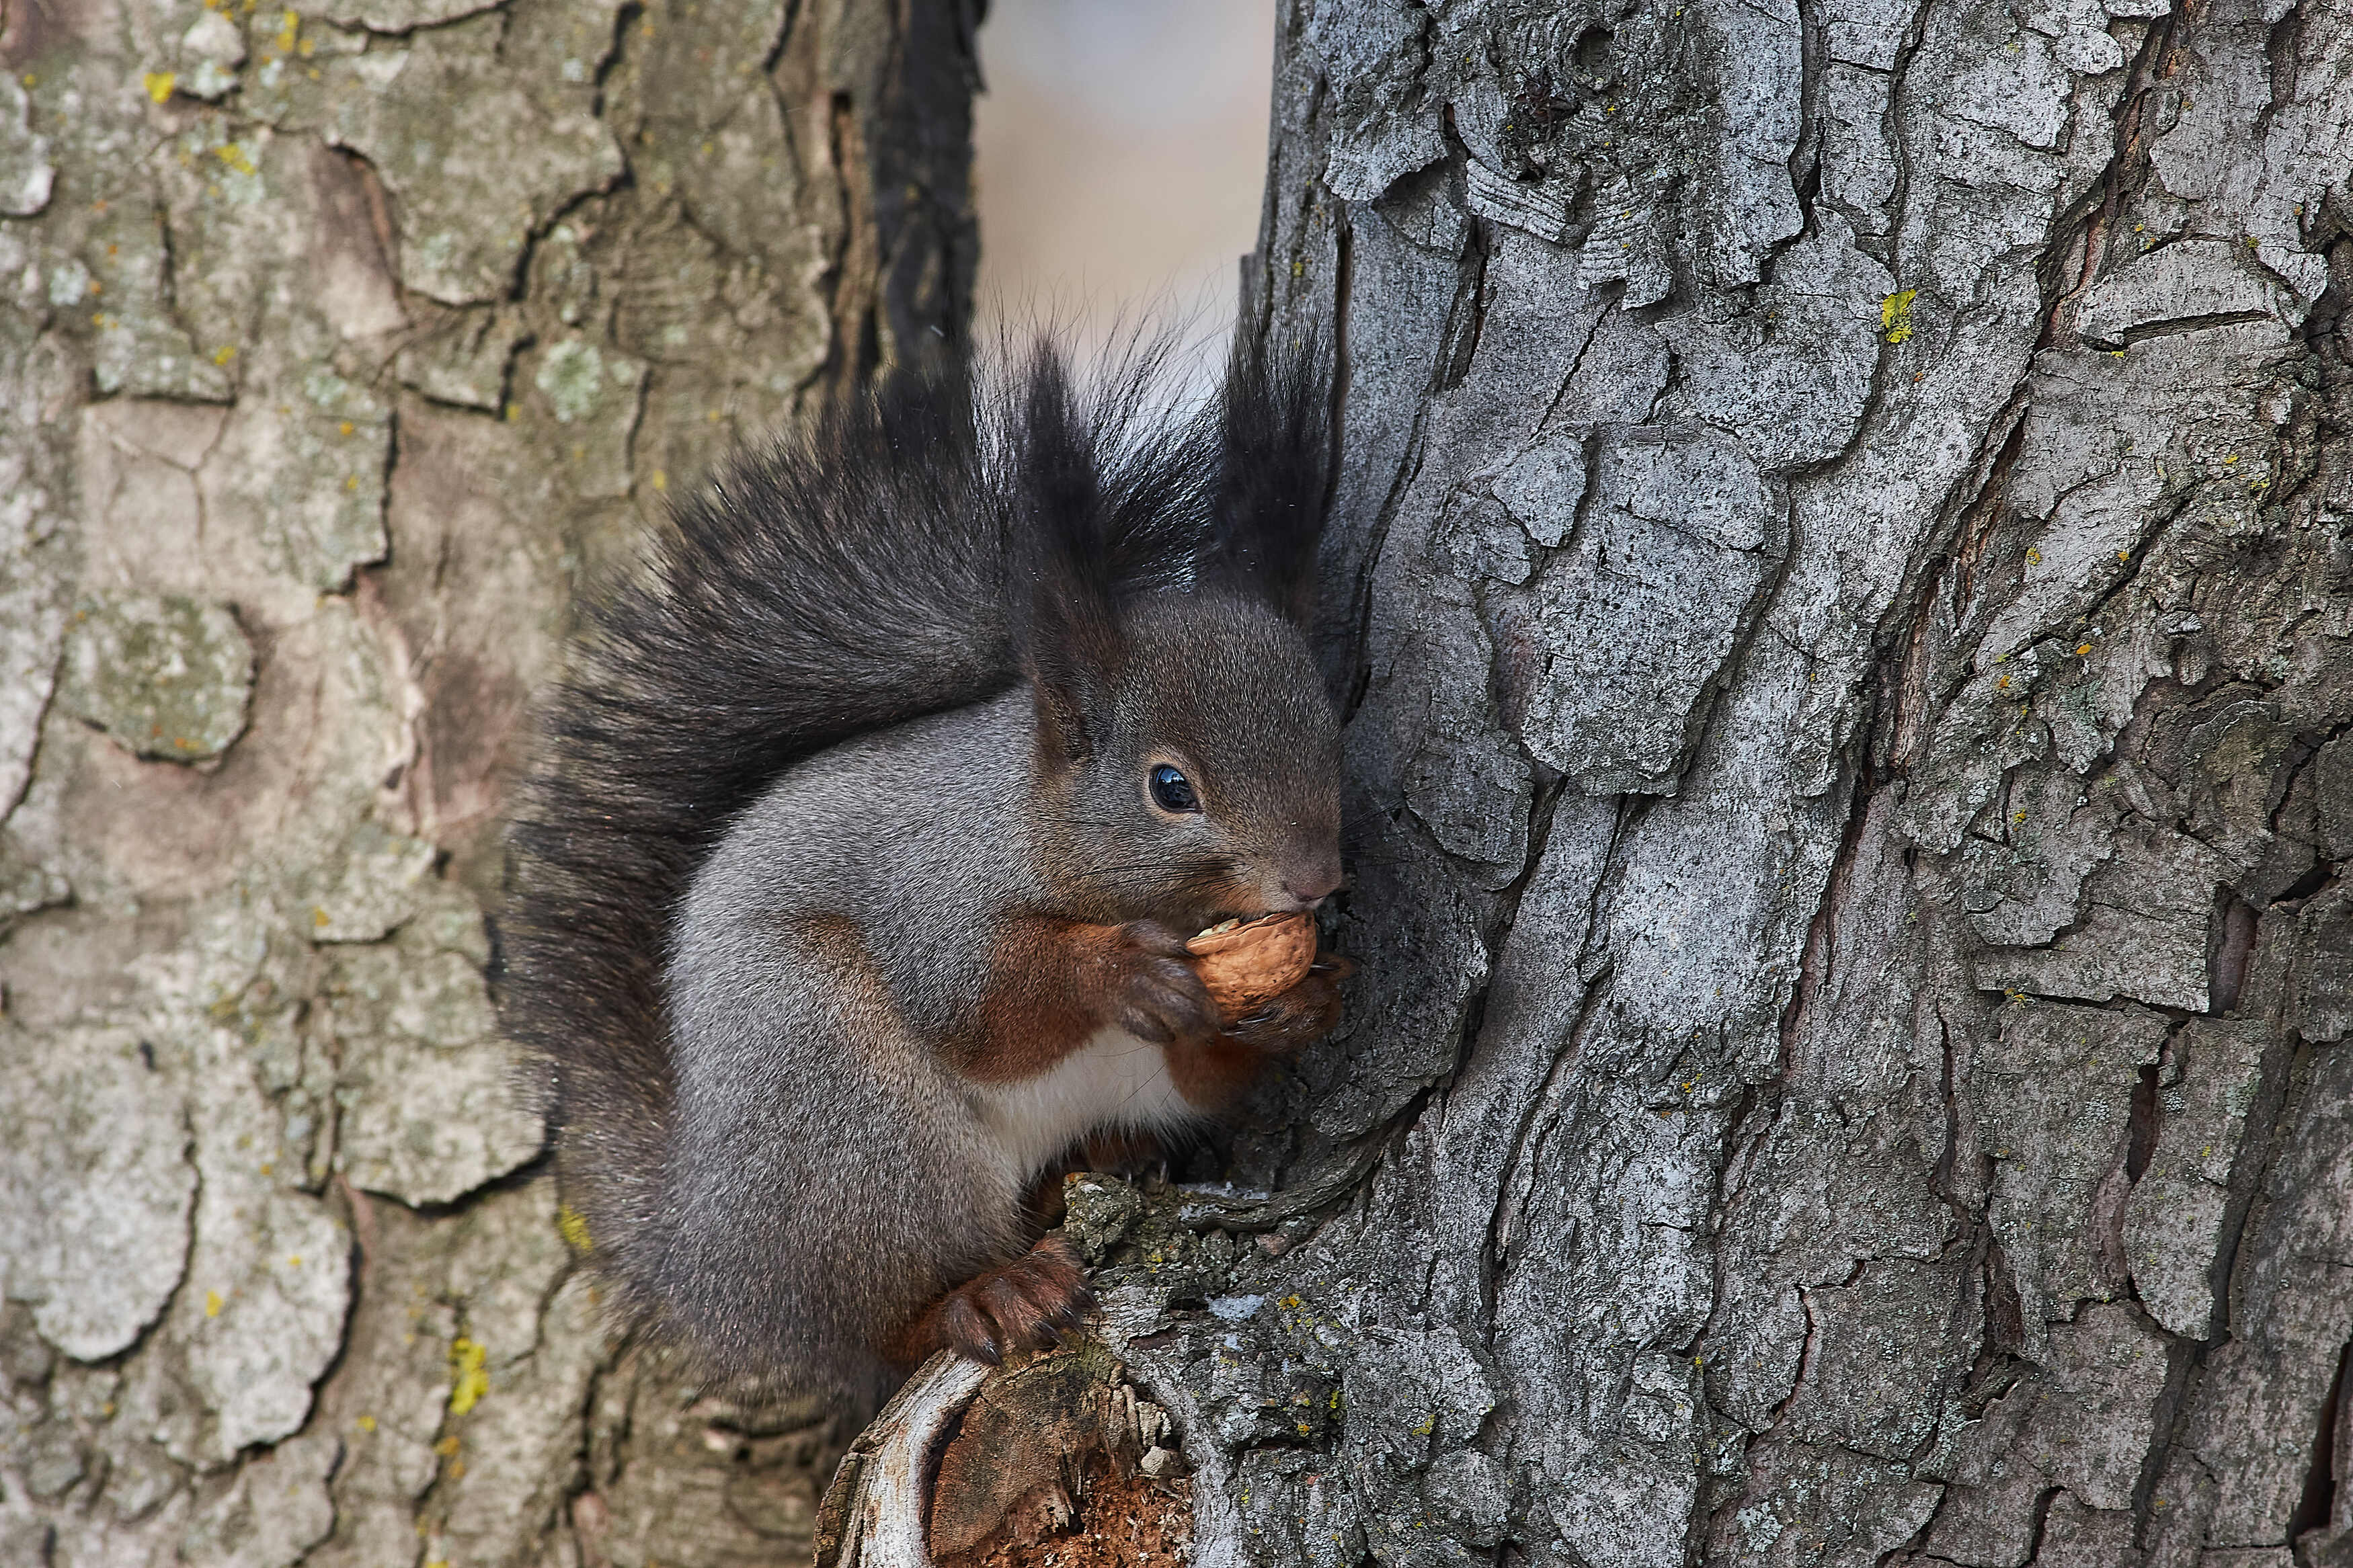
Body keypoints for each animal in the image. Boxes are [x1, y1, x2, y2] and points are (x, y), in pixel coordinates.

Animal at [506, 338, 1355, 1419]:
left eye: (1329, 727)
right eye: (1171, 787)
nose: (1315, 880)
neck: (1031, 827)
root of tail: (706, 1254)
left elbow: (1205, 1073)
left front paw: (1304, 1000)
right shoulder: (930, 892)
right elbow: (981, 1014)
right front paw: (1119, 969)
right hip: (838, 1102)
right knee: (887, 1319)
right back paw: (985, 1294)